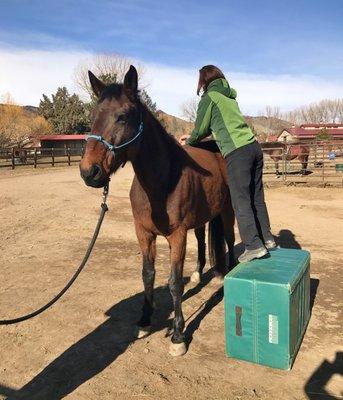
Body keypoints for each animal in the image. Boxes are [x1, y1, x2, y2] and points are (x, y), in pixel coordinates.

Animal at [80, 65, 236, 356]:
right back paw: (199, 273)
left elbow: (174, 283)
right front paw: (144, 321)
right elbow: (148, 275)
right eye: (93, 117)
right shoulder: (144, 233)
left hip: (227, 211)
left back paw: (227, 274)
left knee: (230, 240)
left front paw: (178, 335)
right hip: (201, 218)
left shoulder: (177, 236)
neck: (162, 181)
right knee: (202, 240)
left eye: (122, 117)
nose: (89, 171)